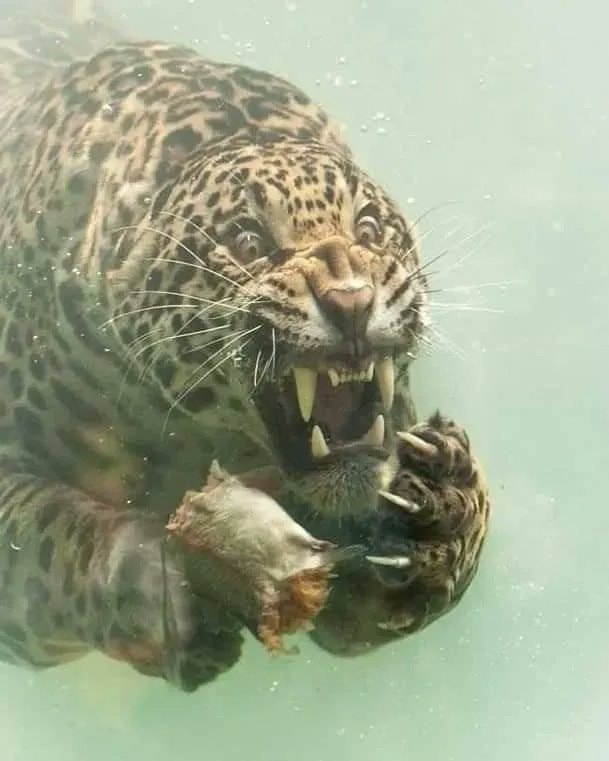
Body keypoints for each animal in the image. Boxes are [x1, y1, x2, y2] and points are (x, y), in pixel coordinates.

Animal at [0, 0, 489, 691]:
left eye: (368, 229)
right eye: (249, 242)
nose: (351, 301)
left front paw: (441, 510)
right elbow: (54, 538)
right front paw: (157, 586)